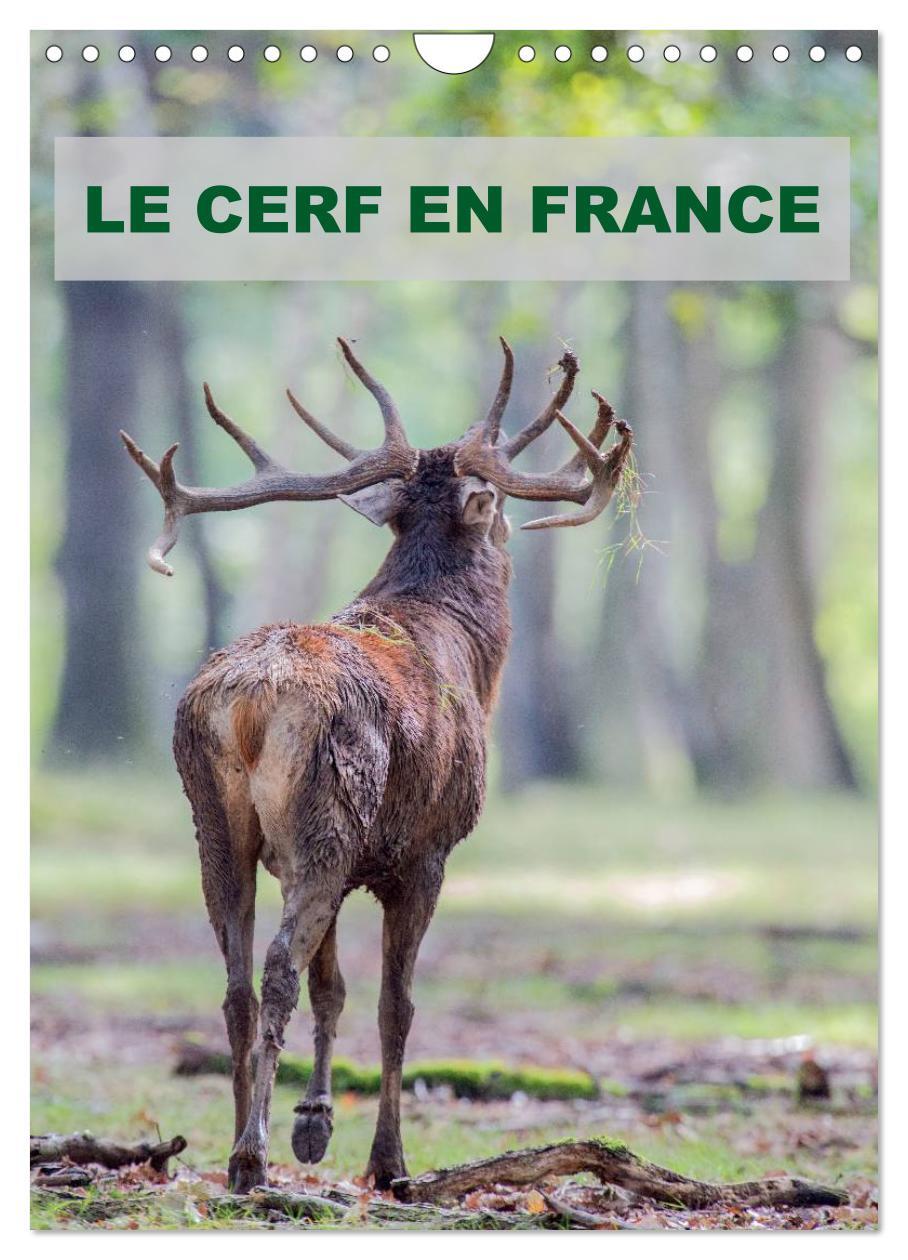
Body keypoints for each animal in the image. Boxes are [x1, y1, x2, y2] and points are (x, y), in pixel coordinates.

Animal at [120, 337, 633, 1195]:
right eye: (497, 504)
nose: (512, 535)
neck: (463, 649)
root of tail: (250, 700)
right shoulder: (424, 850)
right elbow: (397, 1006)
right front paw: (387, 1161)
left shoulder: (336, 854)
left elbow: (334, 990)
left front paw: (316, 1124)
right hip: (325, 815)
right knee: (276, 970)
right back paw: (250, 1155)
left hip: (219, 822)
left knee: (235, 982)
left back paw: (234, 1147)